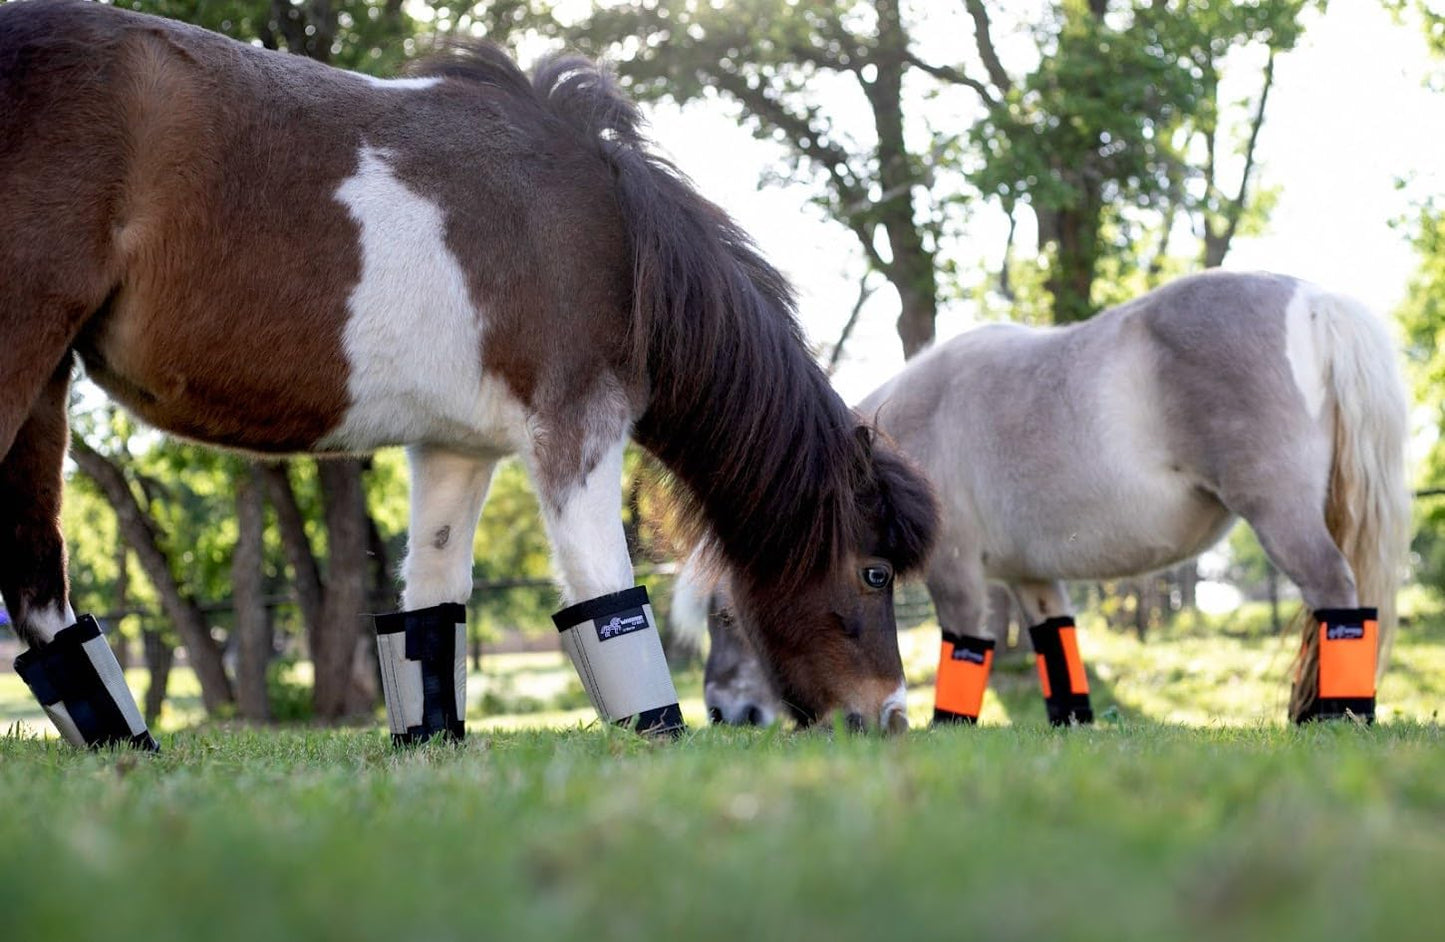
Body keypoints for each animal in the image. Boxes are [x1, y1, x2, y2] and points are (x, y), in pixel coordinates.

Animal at [0, 1, 937, 744]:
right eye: (874, 572)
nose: (890, 716)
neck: (611, 240)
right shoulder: (578, 431)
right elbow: (604, 592)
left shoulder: (456, 451)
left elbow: (433, 611)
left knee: (42, 597)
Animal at [703, 270, 1410, 726]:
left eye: (727, 617)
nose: (724, 712)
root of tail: (1314, 303)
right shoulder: (1031, 577)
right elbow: (1056, 652)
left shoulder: (956, 573)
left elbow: (966, 650)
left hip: (1282, 517)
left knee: (1337, 594)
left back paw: (1336, 716)